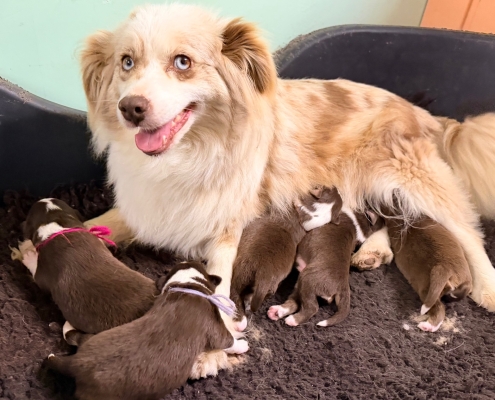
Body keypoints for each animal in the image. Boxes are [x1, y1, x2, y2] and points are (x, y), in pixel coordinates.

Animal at [45, 261, 248, 400]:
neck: (186, 285)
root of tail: (76, 363)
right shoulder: (214, 327)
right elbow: (227, 340)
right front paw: (243, 344)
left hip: (94, 339)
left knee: (76, 337)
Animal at [268, 187, 379, 326]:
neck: (358, 224)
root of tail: (342, 286)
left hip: (308, 279)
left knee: (311, 308)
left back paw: (292, 320)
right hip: (302, 282)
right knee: (295, 302)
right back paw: (277, 311)